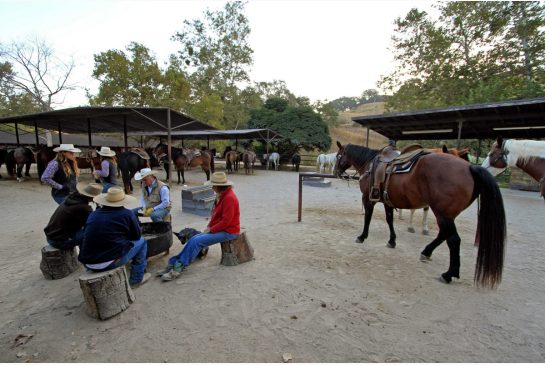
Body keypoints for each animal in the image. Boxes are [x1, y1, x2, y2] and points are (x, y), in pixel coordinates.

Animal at [334, 141, 508, 288]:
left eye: (338, 156)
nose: (336, 172)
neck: (370, 163)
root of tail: (470, 168)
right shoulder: (387, 202)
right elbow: (390, 220)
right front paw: (392, 241)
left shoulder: (368, 199)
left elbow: (368, 218)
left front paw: (362, 236)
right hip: (446, 214)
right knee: (443, 234)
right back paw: (426, 252)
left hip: (442, 214)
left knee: (453, 240)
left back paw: (448, 274)